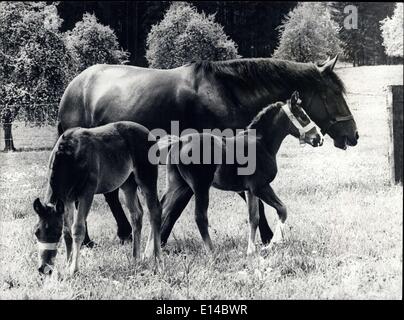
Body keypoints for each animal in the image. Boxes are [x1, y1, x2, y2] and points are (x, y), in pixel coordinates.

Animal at [33, 121, 162, 276]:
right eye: (36, 232)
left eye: (54, 233)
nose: (43, 269)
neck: (69, 158)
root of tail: (148, 133)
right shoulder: (67, 199)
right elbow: (67, 231)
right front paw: (67, 265)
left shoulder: (87, 193)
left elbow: (77, 229)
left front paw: (73, 269)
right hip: (128, 184)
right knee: (136, 214)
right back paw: (135, 259)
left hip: (146, 177)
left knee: (154, 212)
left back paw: (157, 262)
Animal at [57, 55, 360, 246]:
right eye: (334, 94)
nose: (353, 134)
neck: (225, 94)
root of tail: (74, 86)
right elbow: (256, 204)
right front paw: (267, 237)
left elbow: (176, 204)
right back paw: (91, 239)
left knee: (107, 195)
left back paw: (121, 234)